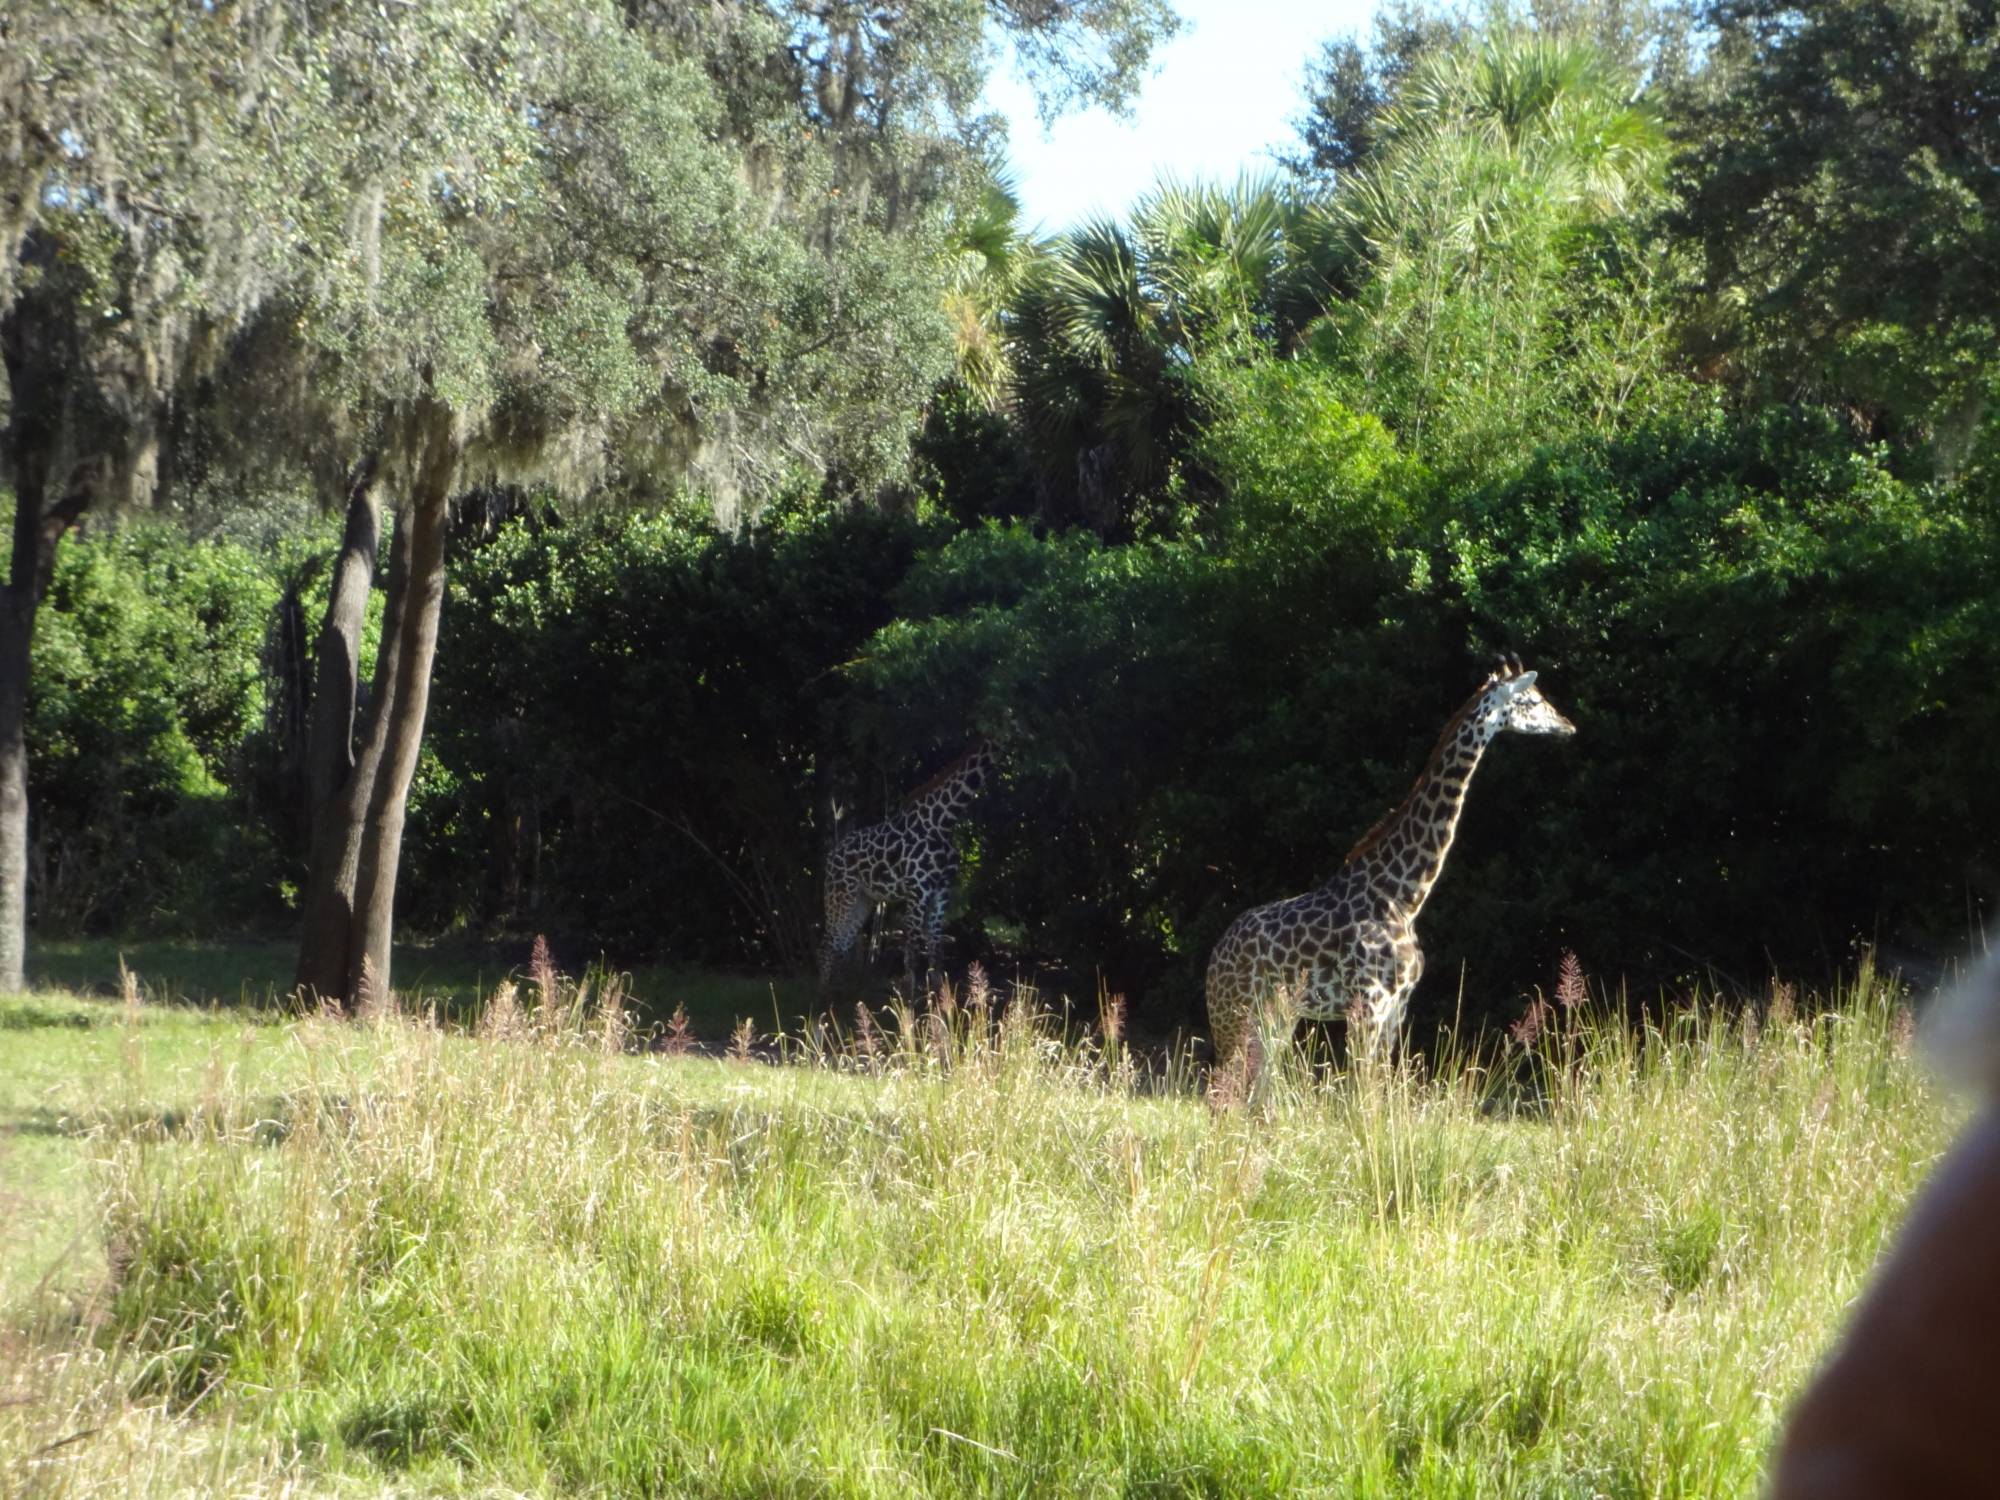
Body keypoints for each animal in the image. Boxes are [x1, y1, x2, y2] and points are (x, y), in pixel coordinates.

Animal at [816, 748, 996, 1004]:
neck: (943, 820)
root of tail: (830, 857)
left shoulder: (941, 890)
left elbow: (936, 953)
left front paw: (940, 1008)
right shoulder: (918, 890)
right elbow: (911, 953)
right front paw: (909, 1008)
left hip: (863, 899)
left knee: (842, 945)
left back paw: (840, 1000)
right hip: (840, 894)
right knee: (828, 944)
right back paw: (823, 1002)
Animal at [1200, 652, 1576, 1096]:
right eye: (1532, 701)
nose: (1568, 725)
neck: (1404, 894)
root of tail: (1216, 954)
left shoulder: (1397, 1006)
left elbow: (1379, 1085)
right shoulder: (1369, 1004)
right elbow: (1360, 1089)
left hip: (1274, 1017)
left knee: (1258, 1091)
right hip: (1233, 1013)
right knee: (1220, 1090)